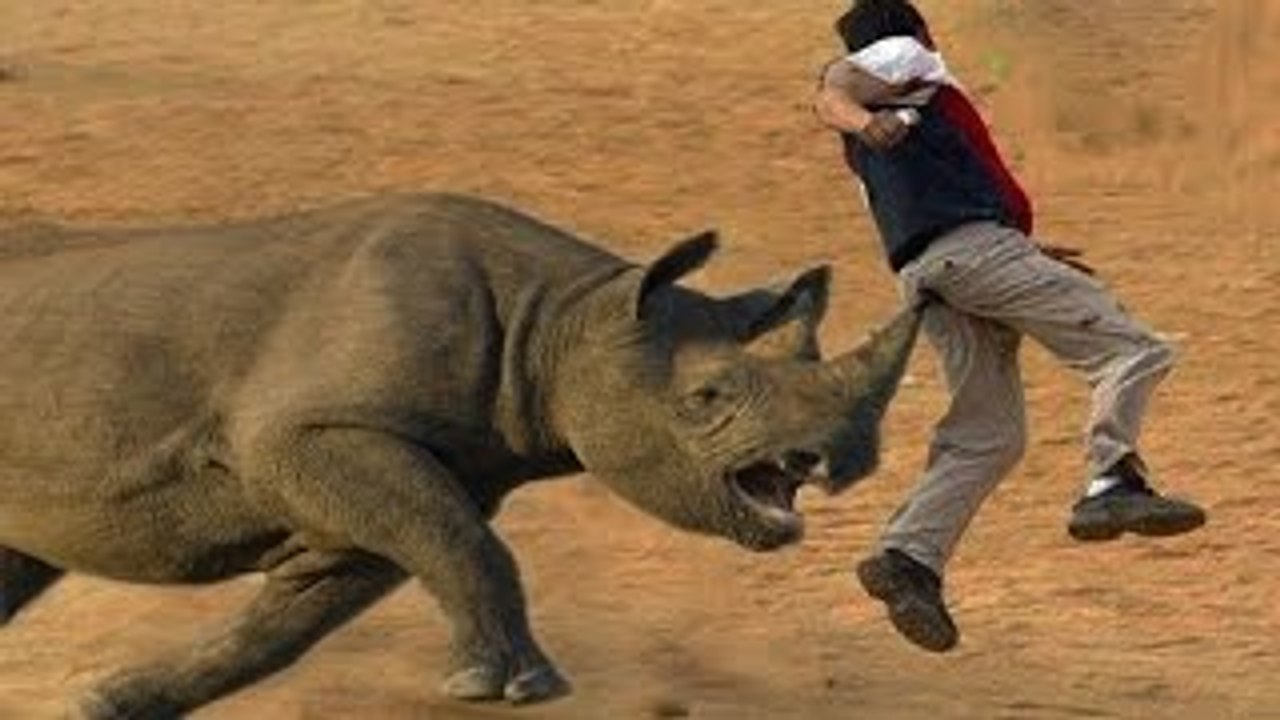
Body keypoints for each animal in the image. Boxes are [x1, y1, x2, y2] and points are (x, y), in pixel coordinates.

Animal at [0, 193, 923, 718]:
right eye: (706, 399)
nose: (845, 456)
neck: (562, 321)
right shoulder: (313, 433)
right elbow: (468, 546)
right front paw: (511, 690)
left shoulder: (363, 488)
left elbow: (289, 623)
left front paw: (108, 702)